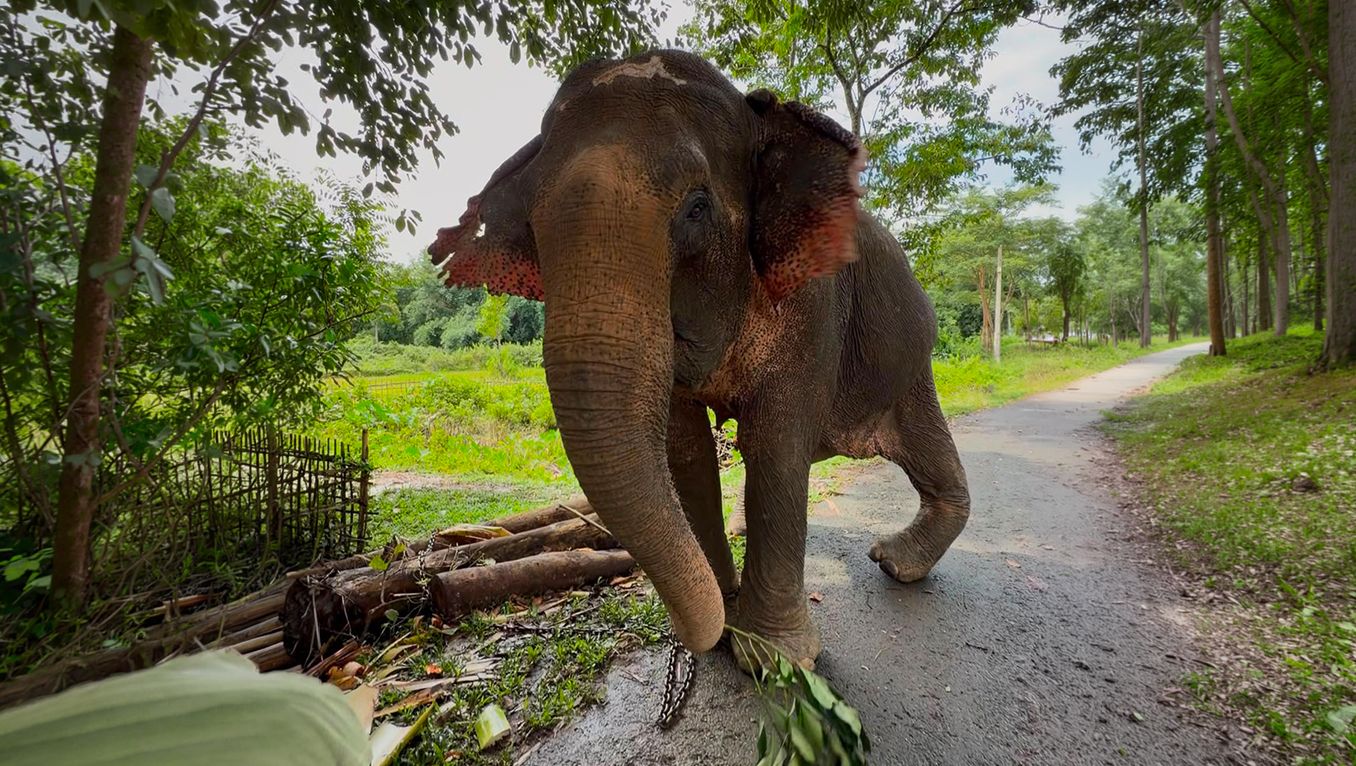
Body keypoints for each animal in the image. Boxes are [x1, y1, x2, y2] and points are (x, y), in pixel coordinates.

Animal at [428, 50, 970, 668]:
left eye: (697, 208)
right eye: (530, 229)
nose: (706, 630)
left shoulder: (814, 304)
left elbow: (775, 446)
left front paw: (772, 657)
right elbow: (684, 451)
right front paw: (726, 614)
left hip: (910, 360)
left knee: (924, 445)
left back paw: (893, 563)